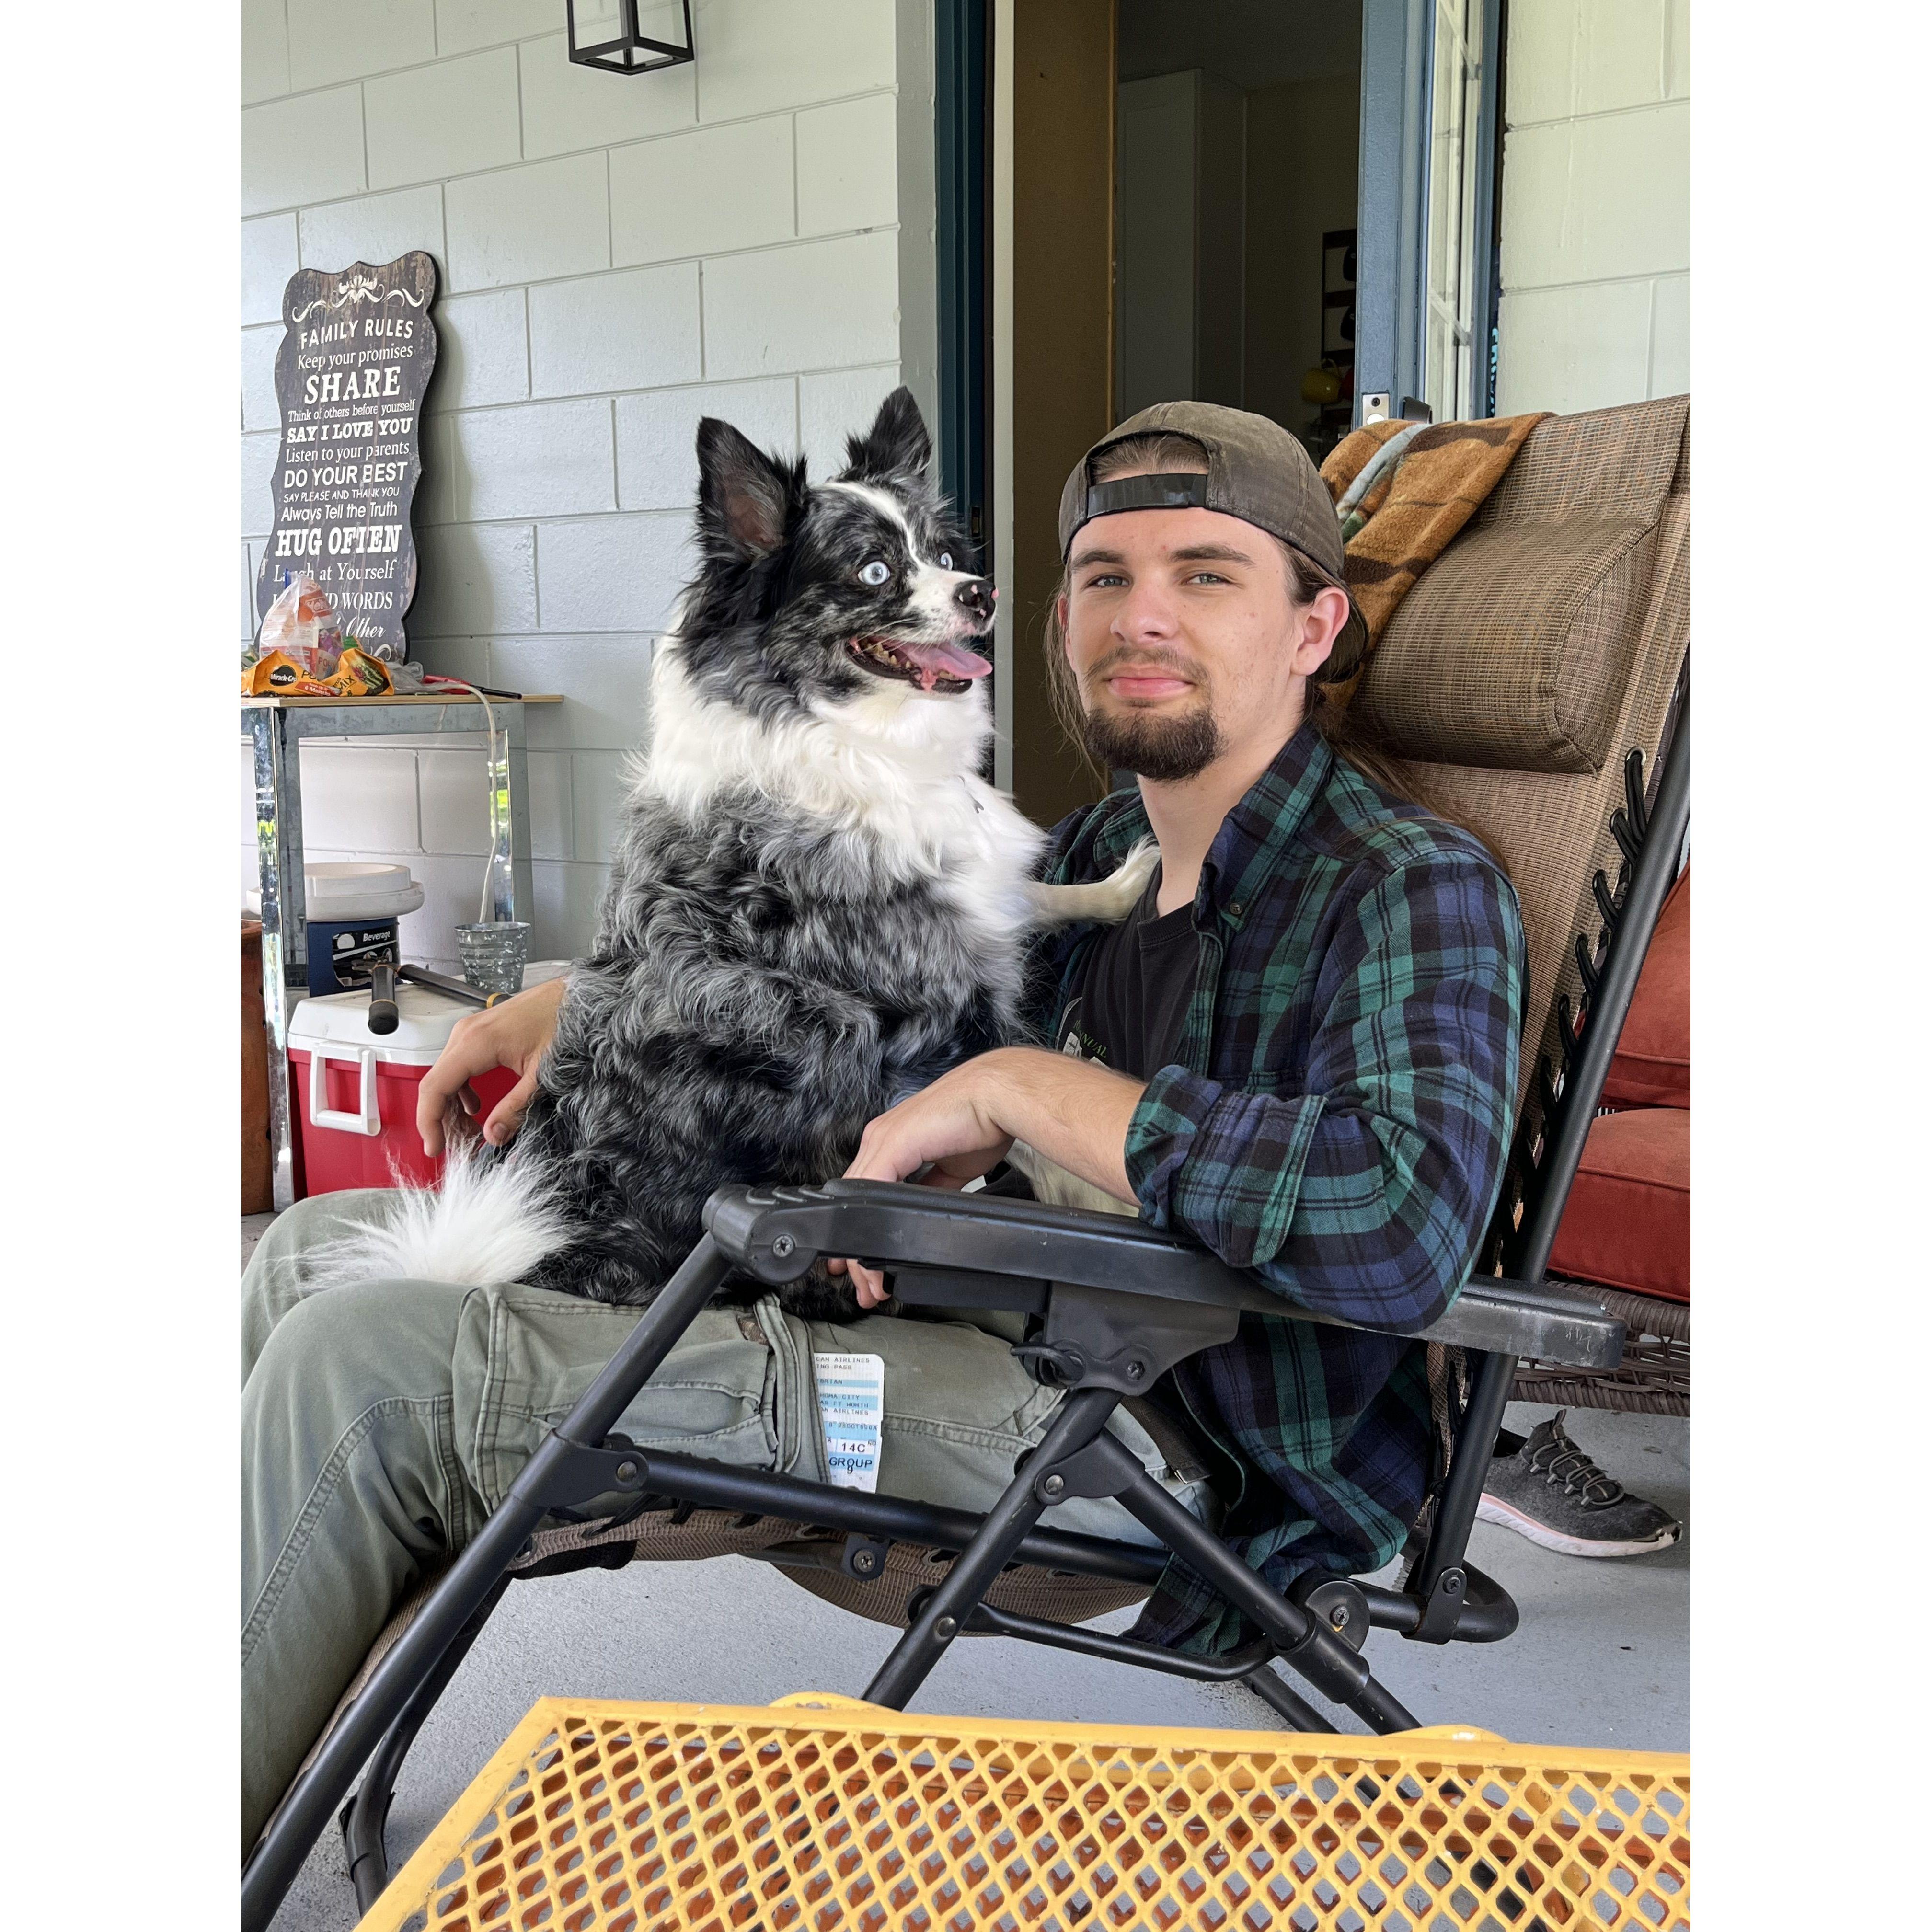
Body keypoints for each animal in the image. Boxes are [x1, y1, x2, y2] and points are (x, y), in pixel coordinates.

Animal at [323, 388, 1153, 1319]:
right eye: (873, 571)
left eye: (941, 554)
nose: (983, 591)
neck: (853, 738)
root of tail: (556, 1253)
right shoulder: (930, 1013)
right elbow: (1015, 1098)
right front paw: (1111, 1202)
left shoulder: (974, 909)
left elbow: (1034, 895)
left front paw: (1124, 881)